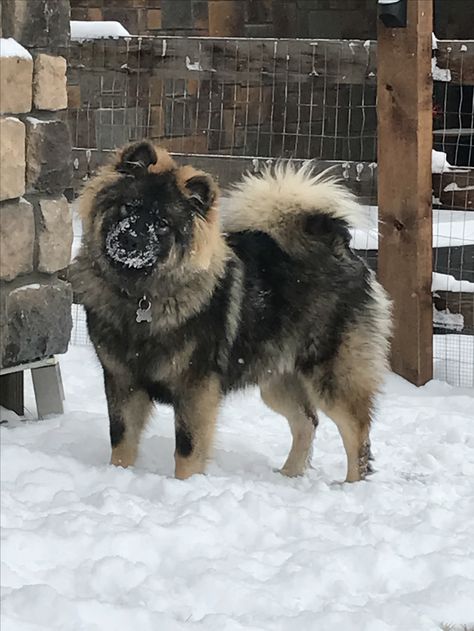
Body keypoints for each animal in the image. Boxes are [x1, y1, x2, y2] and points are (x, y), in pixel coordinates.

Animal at [73, 141, 392, 482]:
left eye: (162, 224)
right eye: (128, 208)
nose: (131, 241)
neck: (139, 298)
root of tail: (339, 245)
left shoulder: (196, 389)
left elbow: (187, 449)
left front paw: (186, 485)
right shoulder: (122, 381)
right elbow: (121, 440)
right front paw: (118, 475)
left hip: (332, 378)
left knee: (357, 434)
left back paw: (351, 485)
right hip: (277, 377)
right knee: (307, 422)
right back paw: (288, 475)